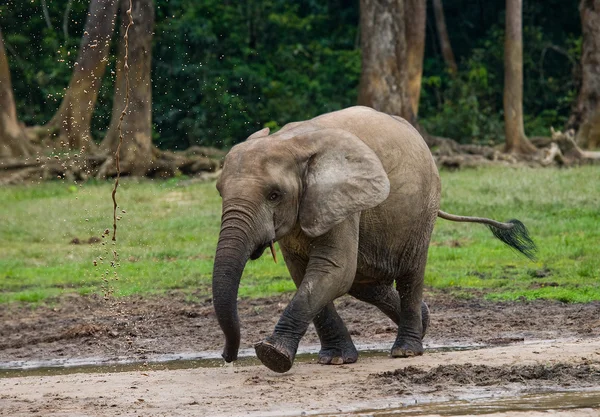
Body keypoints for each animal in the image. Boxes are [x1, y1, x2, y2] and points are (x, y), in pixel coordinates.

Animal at [212, 105, 540, 372]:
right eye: (219, 191)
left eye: (274, 195)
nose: (227, 357)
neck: (289, 142)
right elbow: (307, 274)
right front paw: (335, 359)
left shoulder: (341, 200)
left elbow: (332, 270)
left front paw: (272, 356)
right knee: (365, 283)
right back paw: (425, 321)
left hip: (423, 208)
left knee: (409, 274)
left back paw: (407, 350)